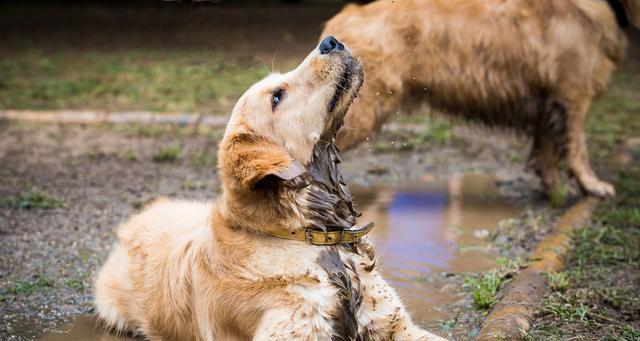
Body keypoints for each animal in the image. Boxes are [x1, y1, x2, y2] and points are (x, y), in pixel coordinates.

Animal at [324, 0, 640, 197]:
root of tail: (340, 22)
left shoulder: (547, 101)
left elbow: (547, 150)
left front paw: (554, 190)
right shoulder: (573, 95)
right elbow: (577, 147)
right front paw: (591, 185)